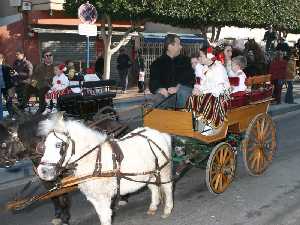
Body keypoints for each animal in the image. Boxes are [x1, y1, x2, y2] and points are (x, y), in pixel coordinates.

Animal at [36, 114, 175, 225]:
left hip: (164, 170)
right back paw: (153, 207)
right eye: (44, 146)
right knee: (154, 187)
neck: (94, 160)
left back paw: (168, 210)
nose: (42, 171)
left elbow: (105, 217)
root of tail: (159, 134)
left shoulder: (103, 198)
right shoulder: (94, 199)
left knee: (167, 187)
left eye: (58, 145)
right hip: (148, 174)